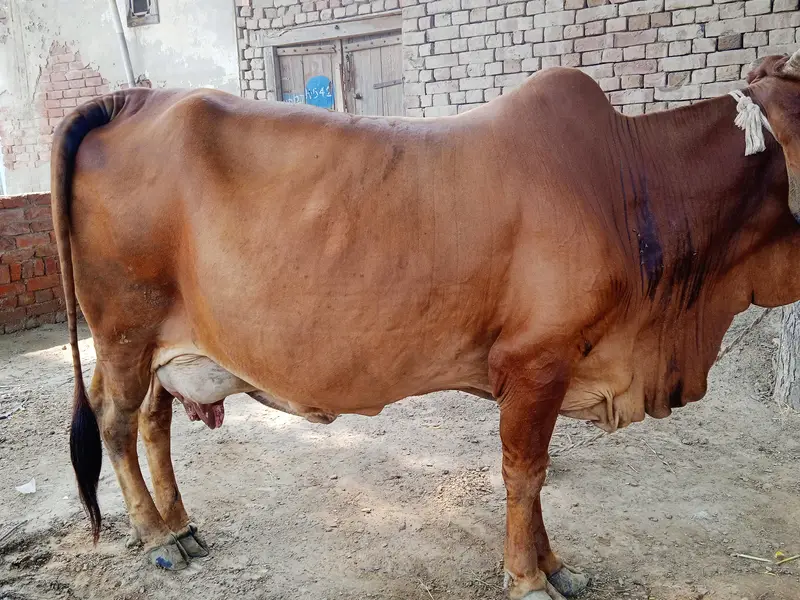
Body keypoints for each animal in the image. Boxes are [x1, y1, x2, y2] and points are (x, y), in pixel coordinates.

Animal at [53, 50, 800, 600]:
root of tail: (130, 100)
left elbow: (534, 478)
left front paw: (554, 566)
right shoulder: (537, 361)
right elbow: (525, 474)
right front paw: (529, 578)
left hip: (165, 347)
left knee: (155, 422)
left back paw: (180, 525)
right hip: (124, 332)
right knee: (117, 423)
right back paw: (156, 537)